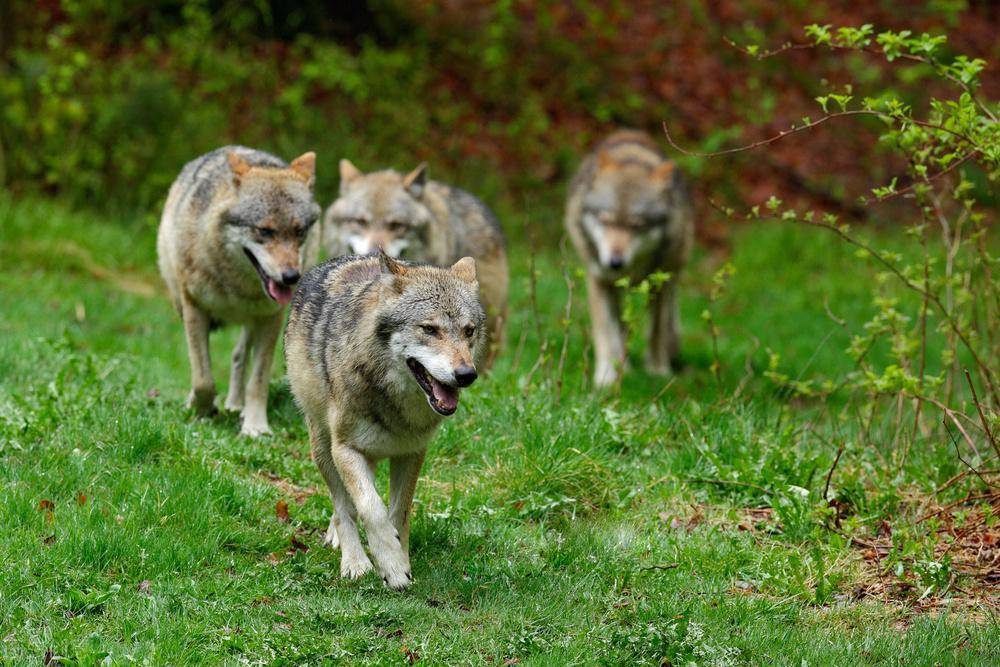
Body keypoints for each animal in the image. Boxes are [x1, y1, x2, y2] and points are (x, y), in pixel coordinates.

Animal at [159, 147, 320, 438]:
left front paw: (255, 426)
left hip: (253, 322)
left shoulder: (271, 318)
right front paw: (201, 409)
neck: (236, 287)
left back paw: (237, 405)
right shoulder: (194, 308)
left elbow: (258, 381)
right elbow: (203, 379)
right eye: (264, 231)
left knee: (238, 356)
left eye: (299, 231)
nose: (291, 277)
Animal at [284, 250, 486, 588]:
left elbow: (399, 513)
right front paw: (389, 565)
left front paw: (400, 559)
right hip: (323, 447)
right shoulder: (346, 449)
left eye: (468, 330)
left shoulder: (411, 453)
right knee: (342, 507)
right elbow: (371, 508)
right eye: (429, 329)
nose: (466, 375)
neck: (394, 404)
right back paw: (354, 562)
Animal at [564, 131, 696, 388]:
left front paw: (658, 371)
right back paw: (623, 363)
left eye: (637, 226)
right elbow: (606, 332)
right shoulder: (599, 280)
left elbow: (656, 331)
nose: (615, 262)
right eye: (605, 220)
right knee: (620, 326)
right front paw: (606, 375)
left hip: (673, 271)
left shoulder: (659, 284)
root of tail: (629, 132)